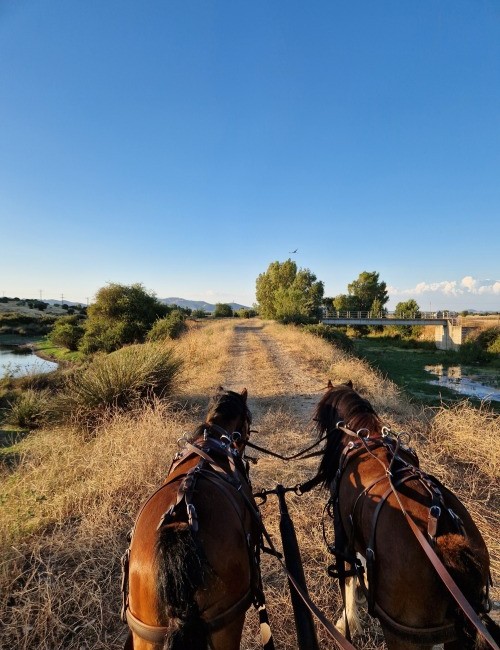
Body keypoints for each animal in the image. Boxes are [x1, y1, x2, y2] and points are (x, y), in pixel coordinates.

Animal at [314, 380, 498, 648]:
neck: (366, 438)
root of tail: (446, 541)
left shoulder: (344, 539)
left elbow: (348, 579)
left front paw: (346, 622)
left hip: (404, 637)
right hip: (457, 633)